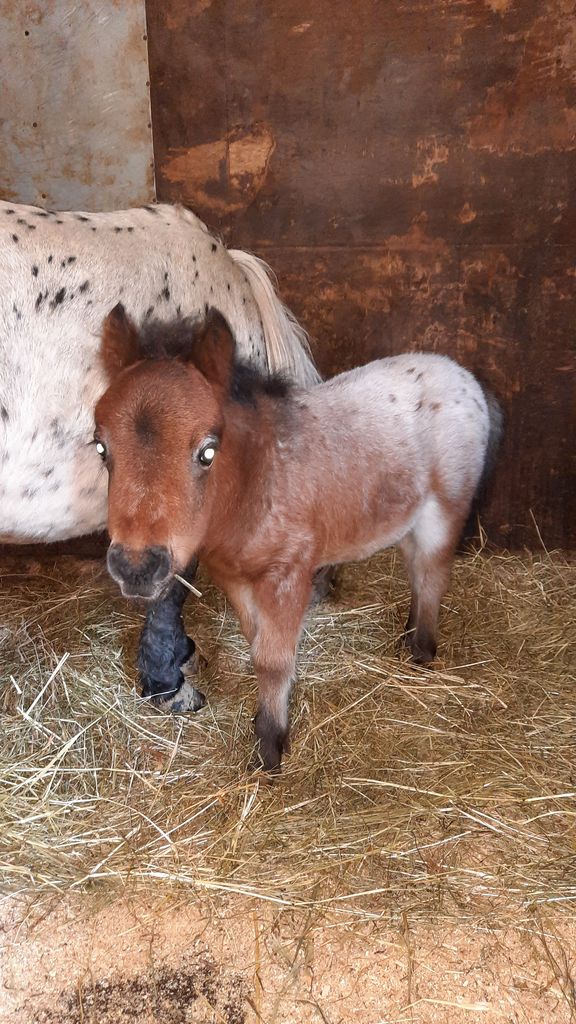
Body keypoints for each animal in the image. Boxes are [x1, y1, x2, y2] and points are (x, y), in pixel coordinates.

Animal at [96, 307, 500, 770]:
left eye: (208, 450)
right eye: (101, 448)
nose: (136, 567)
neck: (260, 479)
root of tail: (466, 378)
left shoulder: (287, 575)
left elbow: (272, 660)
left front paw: (270, 747)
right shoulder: (237, 579)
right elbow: (255, 642)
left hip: (444, 510)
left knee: (431, 574)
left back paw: (421, 649)